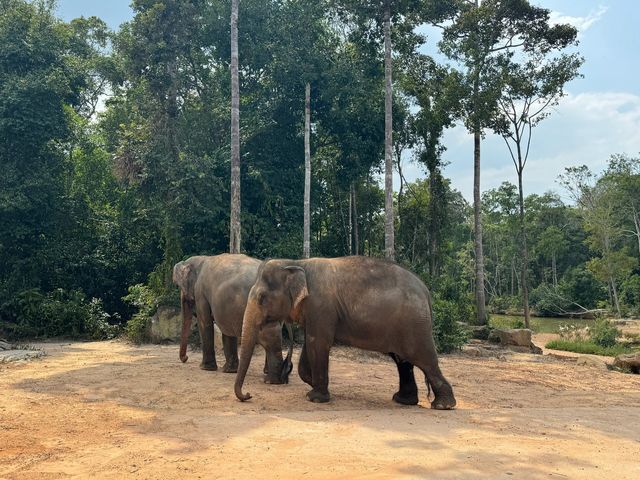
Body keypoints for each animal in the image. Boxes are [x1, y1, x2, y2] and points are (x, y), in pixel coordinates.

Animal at [172, 255, 292, 386]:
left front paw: (205, 368)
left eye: (178, 286)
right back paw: (269, 374)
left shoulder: (200, 293)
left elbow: (205, 323)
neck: (201, 259)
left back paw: (271, 379)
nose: (186, 358)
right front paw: (229, 370)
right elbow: (227, 330)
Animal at [232, 255, 458, 408]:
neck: (298, 263)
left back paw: (443, 405)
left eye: (262, 298)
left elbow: (318, 344)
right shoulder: (314, 313)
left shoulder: (321, 307)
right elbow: (310, 344)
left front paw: (315, 398)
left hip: (414, 326)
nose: (248, 395)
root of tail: (426, 291)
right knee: (403, 361)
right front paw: (312, 384)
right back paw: (403, 400)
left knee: (425, 360)